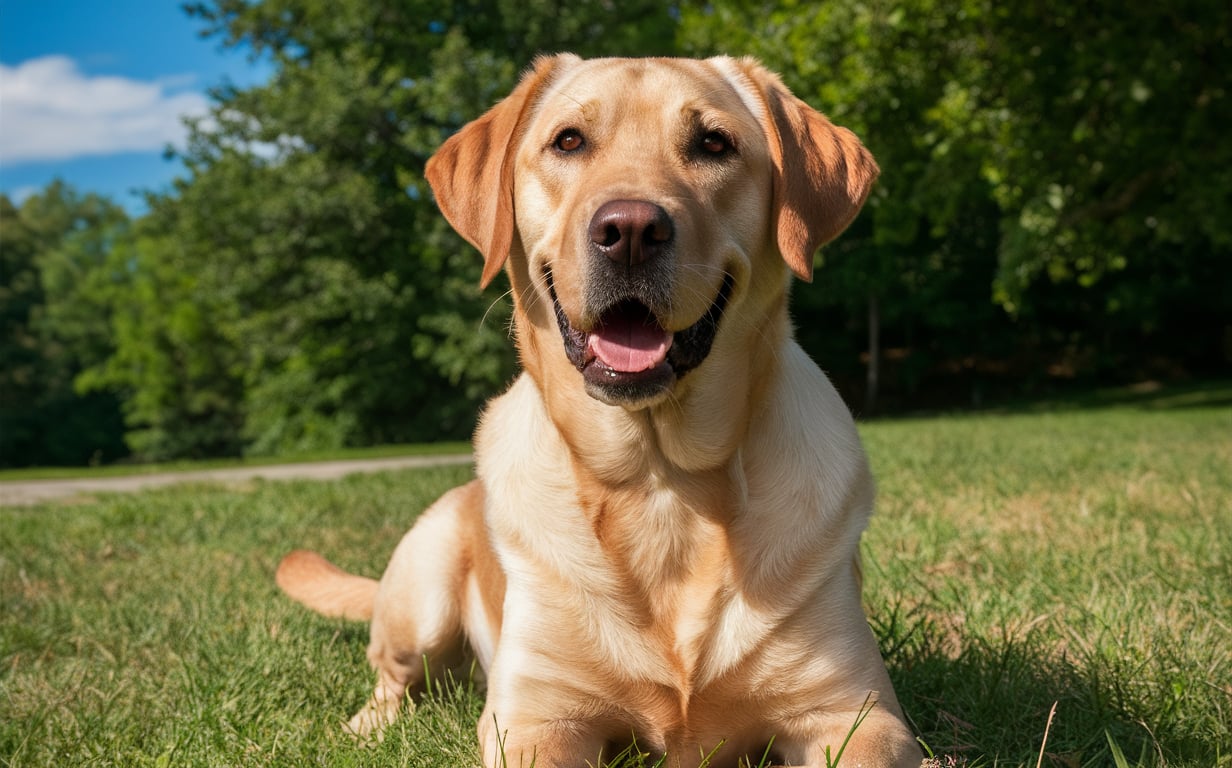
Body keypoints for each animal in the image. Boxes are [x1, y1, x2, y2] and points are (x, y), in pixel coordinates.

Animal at [277, 55, 916, 768]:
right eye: (569, 141)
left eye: (714, 144)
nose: (630, 230)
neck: (660, 480)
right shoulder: (534, 719)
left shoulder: (854, 713)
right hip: (424, 590)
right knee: (392, 681)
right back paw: (366, 729)